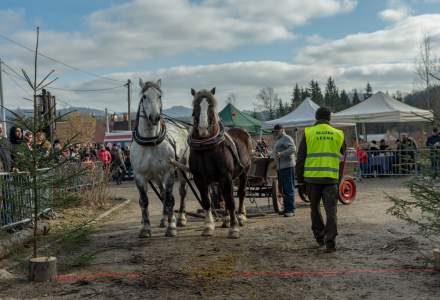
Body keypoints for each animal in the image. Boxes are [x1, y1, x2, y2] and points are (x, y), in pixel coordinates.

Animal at [129, 78, 187, 238]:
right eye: (144, 97)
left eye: (159, 96)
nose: (155, 117)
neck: (150, 142)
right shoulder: (140, 176)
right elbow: (144, 201)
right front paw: (145, 228)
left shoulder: (169, 172)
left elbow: (170, 200)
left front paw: (171, 227)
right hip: (157, 177)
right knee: (162, 194)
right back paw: (163, 219)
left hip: (181, 169)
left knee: (180, 192)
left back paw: (180, 218)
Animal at [188, 87, 251, 239]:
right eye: (195, 106)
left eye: (211, 106)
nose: (203, 128)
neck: (206, 147)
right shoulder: (200, 179)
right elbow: (207, 202)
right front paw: (208, 226)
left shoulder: (226, 176)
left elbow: (231, 201)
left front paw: (234, 228)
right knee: (224, 195)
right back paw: (227, 219)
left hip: (244, 172)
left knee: (241, 193)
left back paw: (241, 217)